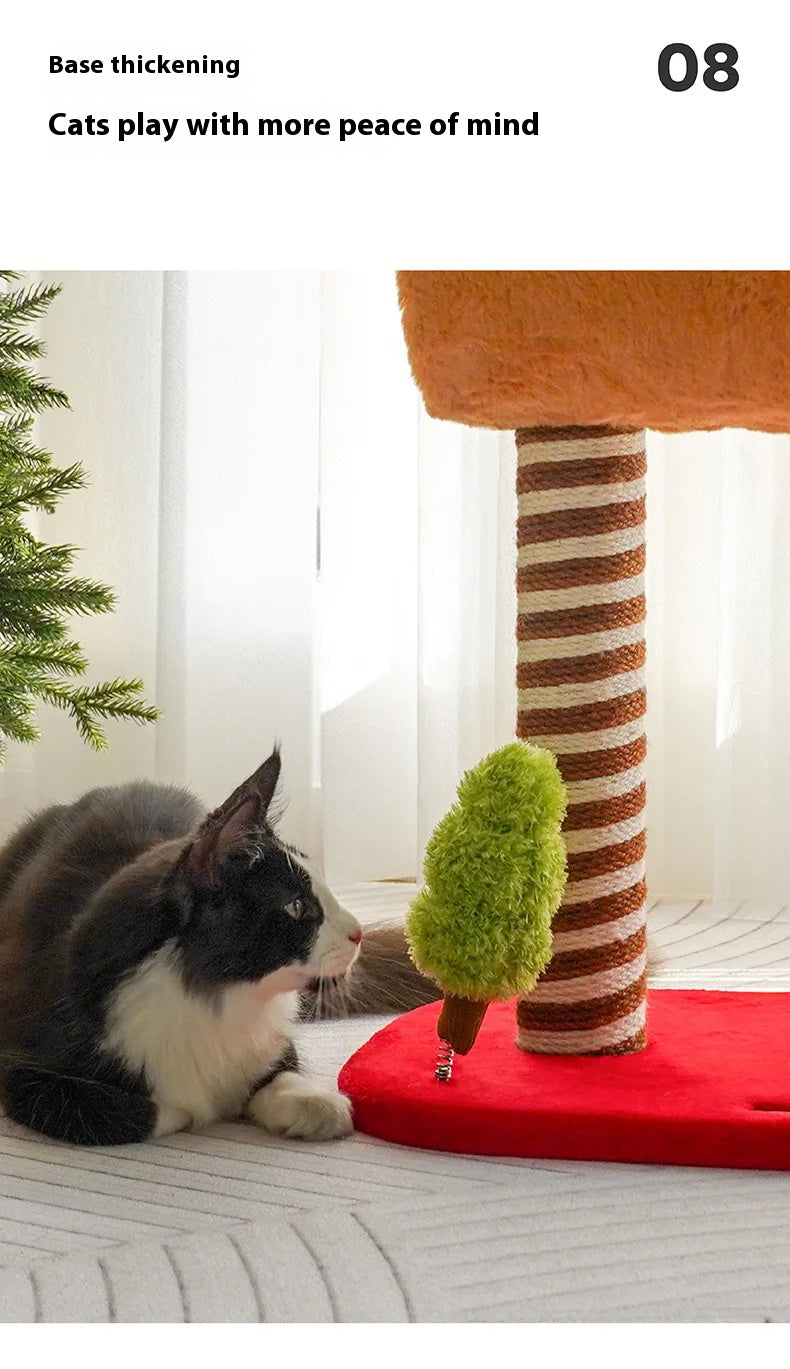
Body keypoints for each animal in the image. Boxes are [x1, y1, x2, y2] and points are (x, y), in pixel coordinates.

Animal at [0, 750, 438, 1144]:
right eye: (297, 907)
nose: (357, 932)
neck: (222, 997)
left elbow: (280, 1071)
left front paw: (314, 1103)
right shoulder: (25, 1068)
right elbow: (133, 1111)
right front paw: (198, 1106)